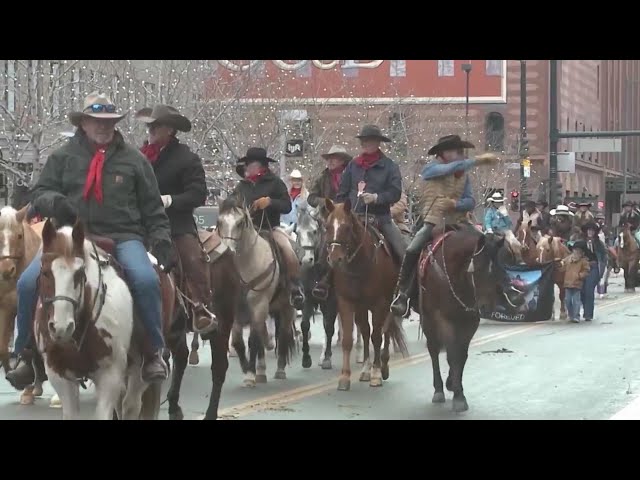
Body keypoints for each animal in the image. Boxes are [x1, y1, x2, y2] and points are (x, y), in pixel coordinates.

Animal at [322, 197, 408, 392]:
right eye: (327, 226)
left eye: (347, 227)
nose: (335, 259)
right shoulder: (347, 302)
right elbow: (349, 339)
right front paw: (345, 377)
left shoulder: (380, 303)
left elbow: (377, 336)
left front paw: (376, 373)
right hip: (362, 307)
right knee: (367, 331)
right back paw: (366, 369)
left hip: (389, 303)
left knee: (385, 332)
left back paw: (383, 365)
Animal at [418, 227, 508, 410]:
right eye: (477, 269)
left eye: (497, 267)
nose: (487, 307)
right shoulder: (443, 319)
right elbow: (452, 354)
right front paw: (458, 395)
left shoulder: (470, 321)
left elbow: (461, 354)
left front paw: (455, 386)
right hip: (428, 320)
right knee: (433, 350)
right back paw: (438, 390)